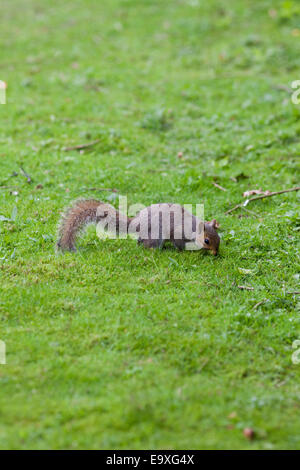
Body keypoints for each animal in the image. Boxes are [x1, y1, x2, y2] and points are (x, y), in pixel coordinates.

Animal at [56, 200, 220, 255]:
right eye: (206, 241)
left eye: (219, 238)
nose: (216, 253)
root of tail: (137, 223)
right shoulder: (178, 233)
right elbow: (179, 244)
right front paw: (186, 250)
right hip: (156, 235)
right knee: (147, 244)